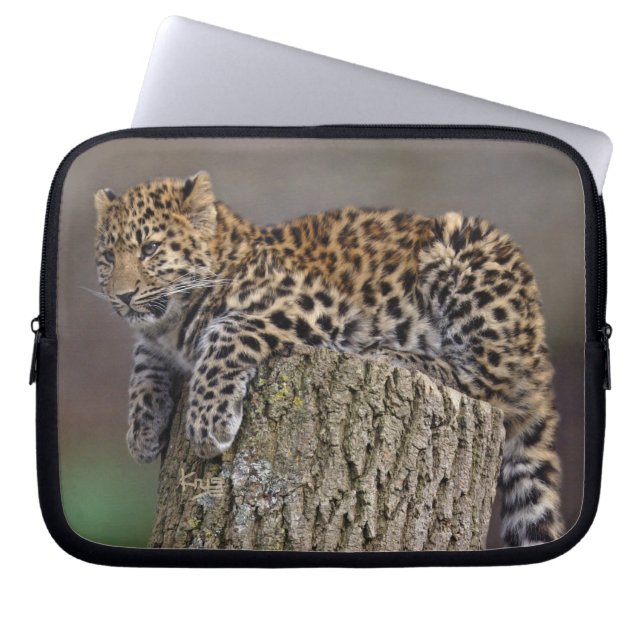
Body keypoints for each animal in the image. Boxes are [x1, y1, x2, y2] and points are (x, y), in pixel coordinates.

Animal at [94, 171, 564, 547]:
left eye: (150, 248)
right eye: (108, 258)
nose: (122, 296)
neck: (173, 323)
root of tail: (539, 346)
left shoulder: (313, 305)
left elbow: (227, 332)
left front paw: (208, 423)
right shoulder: (156, 342)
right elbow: (143, 365)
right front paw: (143, 431)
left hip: (465, 248)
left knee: (494, 383)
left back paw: (395, 355)